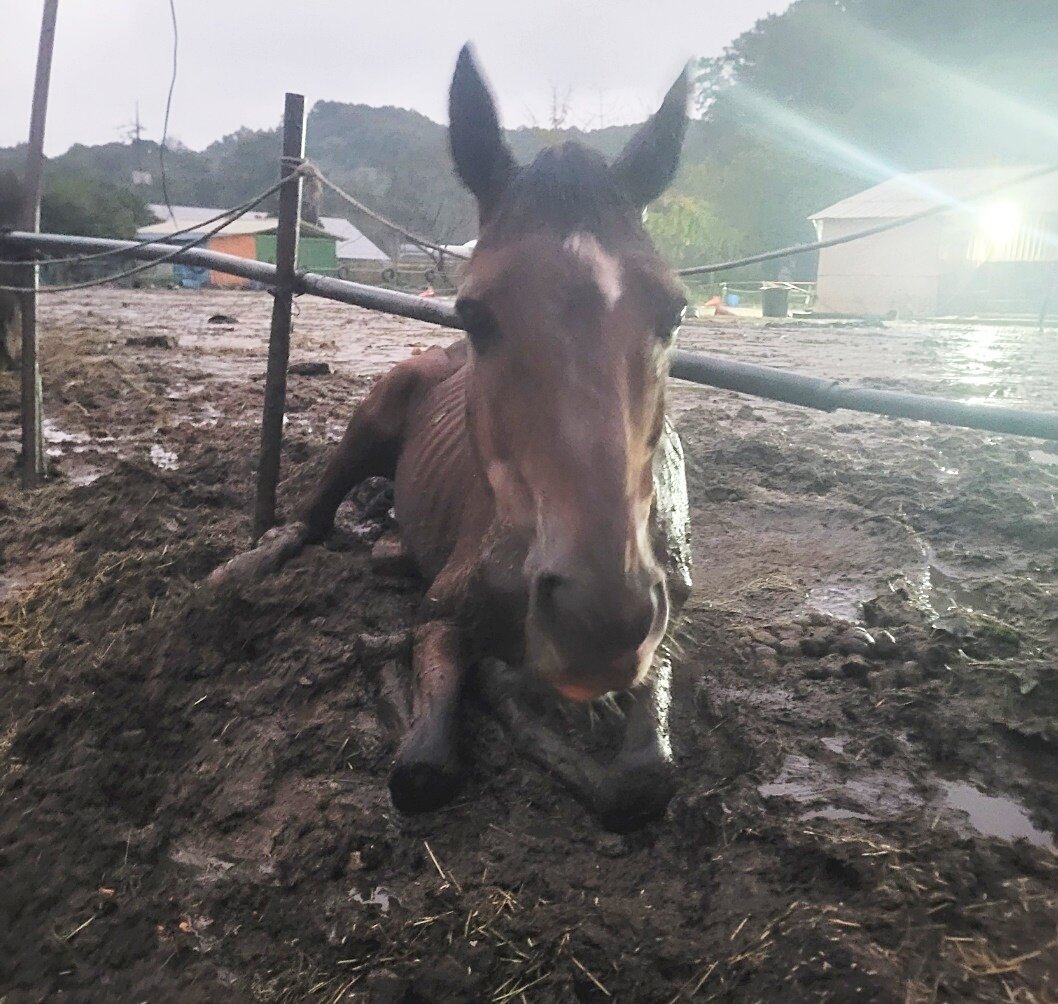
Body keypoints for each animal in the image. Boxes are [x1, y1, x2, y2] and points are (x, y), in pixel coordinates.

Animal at [212, 44, 694, 829]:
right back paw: (242, 569)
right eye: (474, 314)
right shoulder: (440, 616)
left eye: (675, 311)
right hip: (369, 422)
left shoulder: (663, 633)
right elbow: (422, 769)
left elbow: (644, 781)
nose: (597, 621)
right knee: (310, 521)